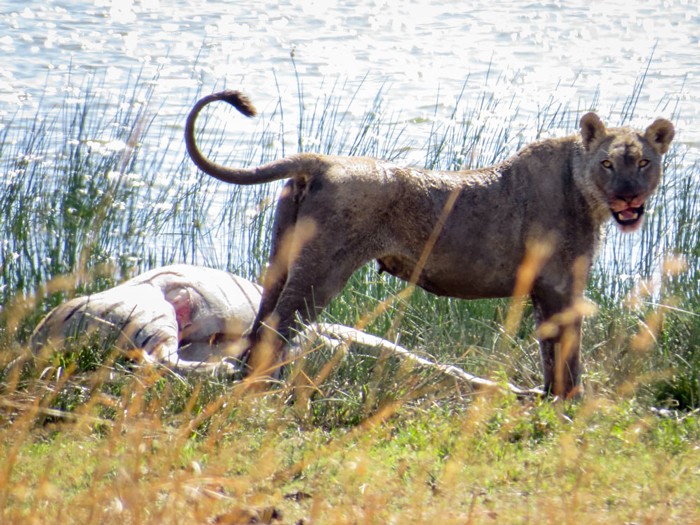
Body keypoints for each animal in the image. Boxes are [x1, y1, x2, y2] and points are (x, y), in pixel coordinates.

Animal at [183, 90, 676, 398]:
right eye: (608, 163)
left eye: (644, 163)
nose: (629, 196)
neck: (584, 190)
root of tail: (322, 161)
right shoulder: (561, 285)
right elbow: (568, 352)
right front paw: (573, 403)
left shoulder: (543, 289)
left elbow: (549, 352)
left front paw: (548, 398)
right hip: (322, 268)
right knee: (275, 328)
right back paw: (260, 392)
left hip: (280, 263)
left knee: (259, 327)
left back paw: (249, 384)